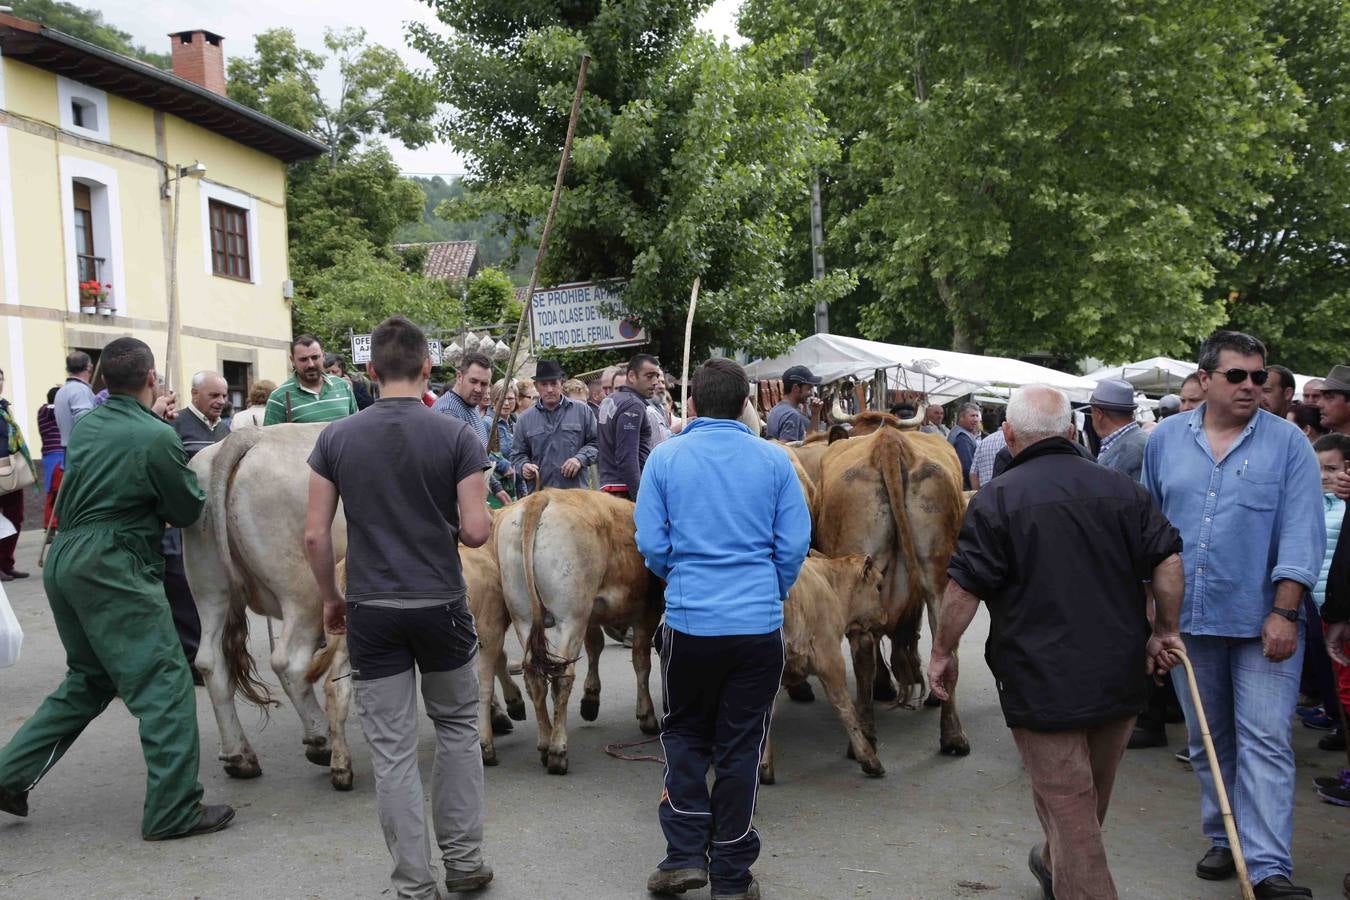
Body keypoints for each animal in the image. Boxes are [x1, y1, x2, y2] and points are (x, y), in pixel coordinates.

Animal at [496, 488, 664, 777]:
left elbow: (595, 647)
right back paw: (558, 751)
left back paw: (545, 742)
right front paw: (647, 715)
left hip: (524, 616)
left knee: (534, 676)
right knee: (563, 674)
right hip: (571, 616)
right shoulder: (647, 613)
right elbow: (641, 663)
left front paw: (590, 699)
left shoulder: (592, 615)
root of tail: (543, 496)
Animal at [756, 553, 891, 782]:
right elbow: (845, 708)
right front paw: (868, 759)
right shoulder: (830, 659)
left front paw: (765, 767)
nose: (885, 618)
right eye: (879, 586)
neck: (830, 584)